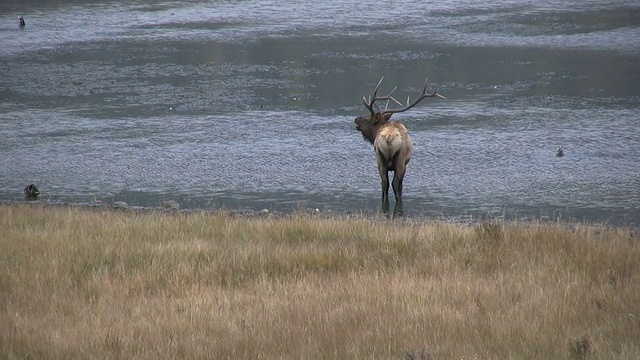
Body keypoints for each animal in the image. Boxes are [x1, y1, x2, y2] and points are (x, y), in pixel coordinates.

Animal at [356, 75, 444, 215]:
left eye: (365, 120)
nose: (355, 119)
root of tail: (389, 137)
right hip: (399, 161)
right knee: (395, 183)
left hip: (381, 160)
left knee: (386, 183)